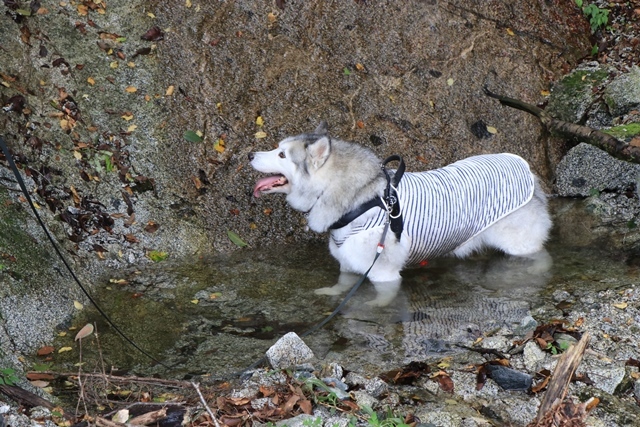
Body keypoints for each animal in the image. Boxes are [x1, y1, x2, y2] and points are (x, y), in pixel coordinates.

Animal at [249, 123, 552, 308]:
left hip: (519, 243)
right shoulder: (347, 260)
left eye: (281, 154)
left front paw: (376, 307)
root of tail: (526, 169)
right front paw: (333, 293)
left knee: (541, 256)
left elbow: (384, 296)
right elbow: (343, 283)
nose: (250, 154)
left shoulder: (383, 273)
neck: (360, 197)